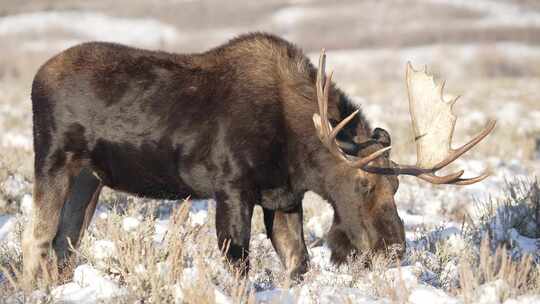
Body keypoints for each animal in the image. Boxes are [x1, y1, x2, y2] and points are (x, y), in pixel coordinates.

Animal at [21, 32, 496, 280]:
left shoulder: (283, 199)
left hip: (91, 177)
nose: (393, 250)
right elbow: (239, 263)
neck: (298, 150)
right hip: (53, 158)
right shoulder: (231, 189)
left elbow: (298, 262)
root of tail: (36, 76)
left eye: (396, 184)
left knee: (65, 242)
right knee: (37, 238)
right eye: (363, 182)